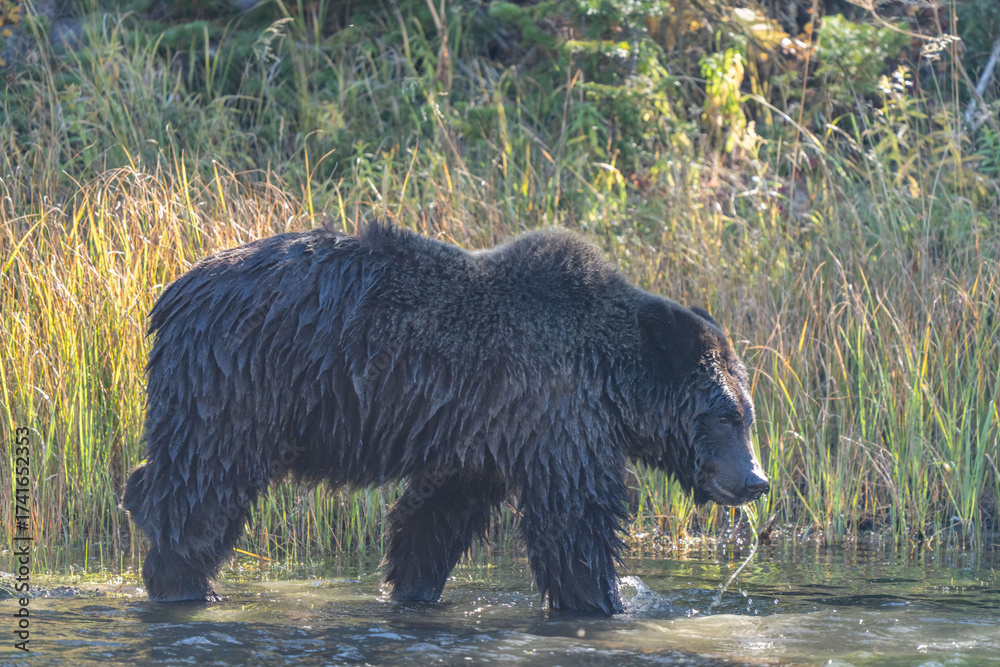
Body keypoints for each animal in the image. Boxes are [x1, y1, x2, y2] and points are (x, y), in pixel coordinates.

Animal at [121, 221, 769, 614]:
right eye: (727, 415)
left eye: (748, 413)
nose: (755, 480)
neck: (610, 380)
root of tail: (172, 293)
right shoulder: (553, 414)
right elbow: (574, 519)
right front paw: (603, 600)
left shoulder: (481, 434)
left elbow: (434, 515)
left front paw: (413, 587)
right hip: (237, 384)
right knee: (201, 485)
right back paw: (184, 585)